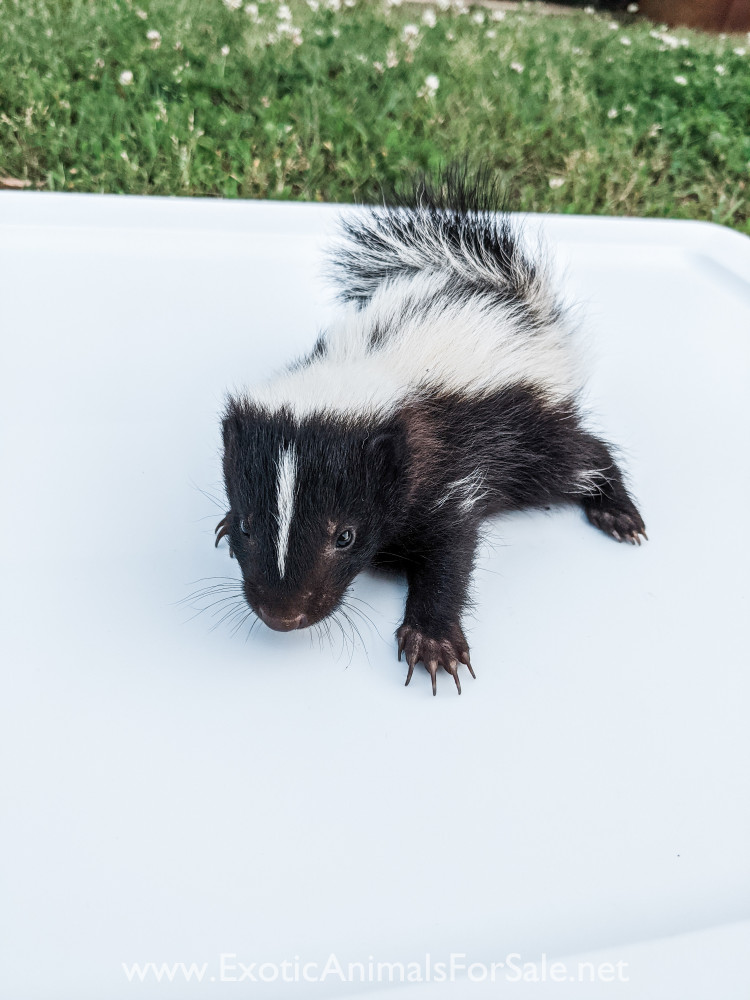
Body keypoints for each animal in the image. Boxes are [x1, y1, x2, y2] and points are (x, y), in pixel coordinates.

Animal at [216, 172, 648, 696]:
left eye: (344, 536)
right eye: (248, 525)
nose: (283, 614)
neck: (364, 368)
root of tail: (512, 299)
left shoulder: (450, 461)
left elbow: (451, 548)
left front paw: (433, 641)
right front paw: (221, 524)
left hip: (533, 431)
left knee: (582, 455)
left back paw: (617, 512)